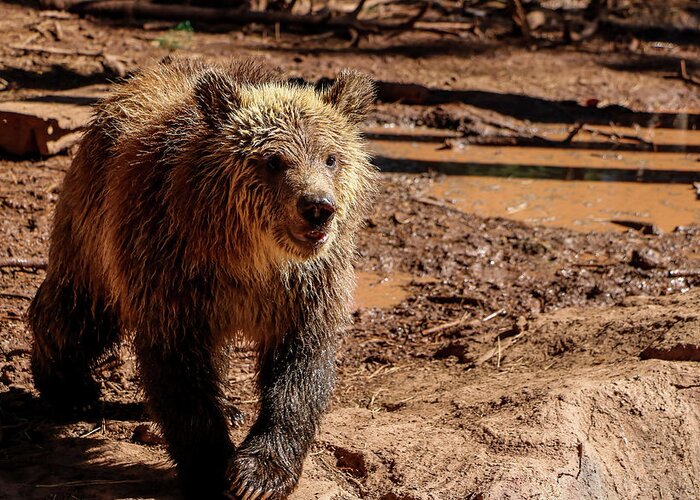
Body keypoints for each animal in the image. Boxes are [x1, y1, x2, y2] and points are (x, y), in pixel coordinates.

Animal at [27, 56, 378, 498]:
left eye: (330, 157)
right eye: (274, 160)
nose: (318, 207)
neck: (251, 257)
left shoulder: (307, 287)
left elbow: (300, 367)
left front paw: (260, 473)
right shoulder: (171, 266)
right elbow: (180, 370)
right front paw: (213, 468)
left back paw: (228, 406)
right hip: (93, 227)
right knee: (80, 311)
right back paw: (69, 388)